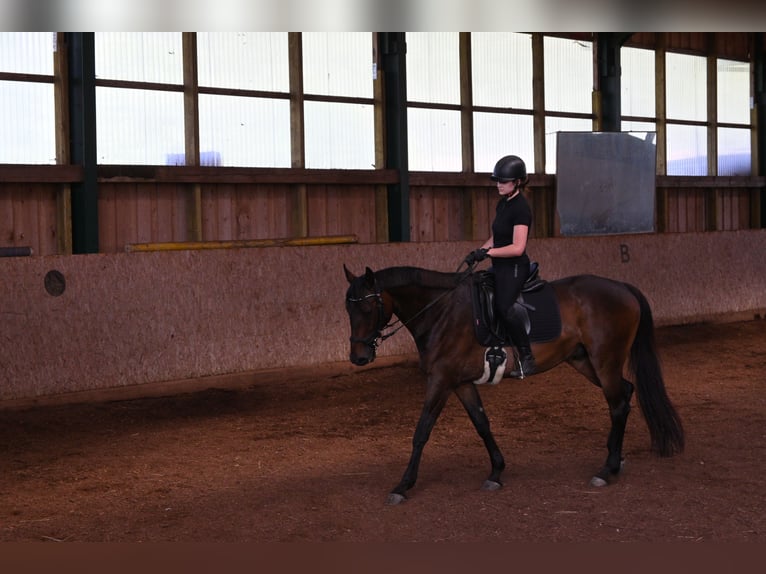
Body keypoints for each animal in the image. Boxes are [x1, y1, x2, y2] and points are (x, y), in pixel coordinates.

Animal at [344, 264, 688, 506]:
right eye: (348, 309)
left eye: (367, 308)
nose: (359, 357)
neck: (441, 312)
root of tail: (623, 287)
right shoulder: (460, 382)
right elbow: (482, 423)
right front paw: (496, 473)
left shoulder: (441, 380)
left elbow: (421, 431)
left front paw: (402, 486)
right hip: (583, 361)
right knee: (625, 394)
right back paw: (616, 459)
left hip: (605, 360)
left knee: (617, 404)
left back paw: (606, 471)